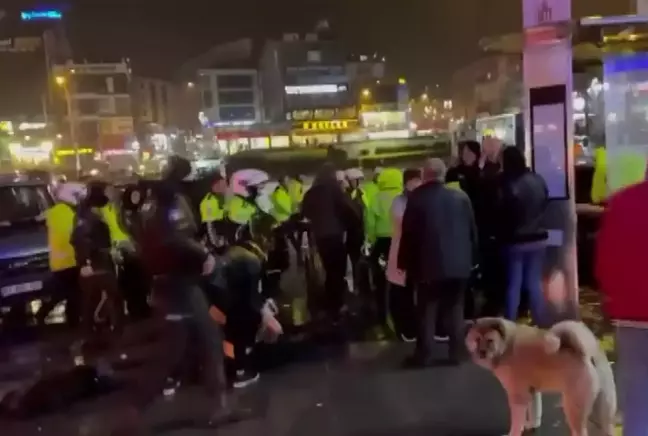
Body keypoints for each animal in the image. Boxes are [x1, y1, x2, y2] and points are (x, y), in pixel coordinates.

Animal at [468, 316, 616, 436]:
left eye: (489, 340)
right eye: (477, 339)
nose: (482, 352)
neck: (505, 346)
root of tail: (588, 353)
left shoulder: (518, 396)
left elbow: (517, 422)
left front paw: (513, 433)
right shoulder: (532, 391)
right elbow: (534, 412)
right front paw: (532, 425)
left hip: (573, 406)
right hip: (604, 409)